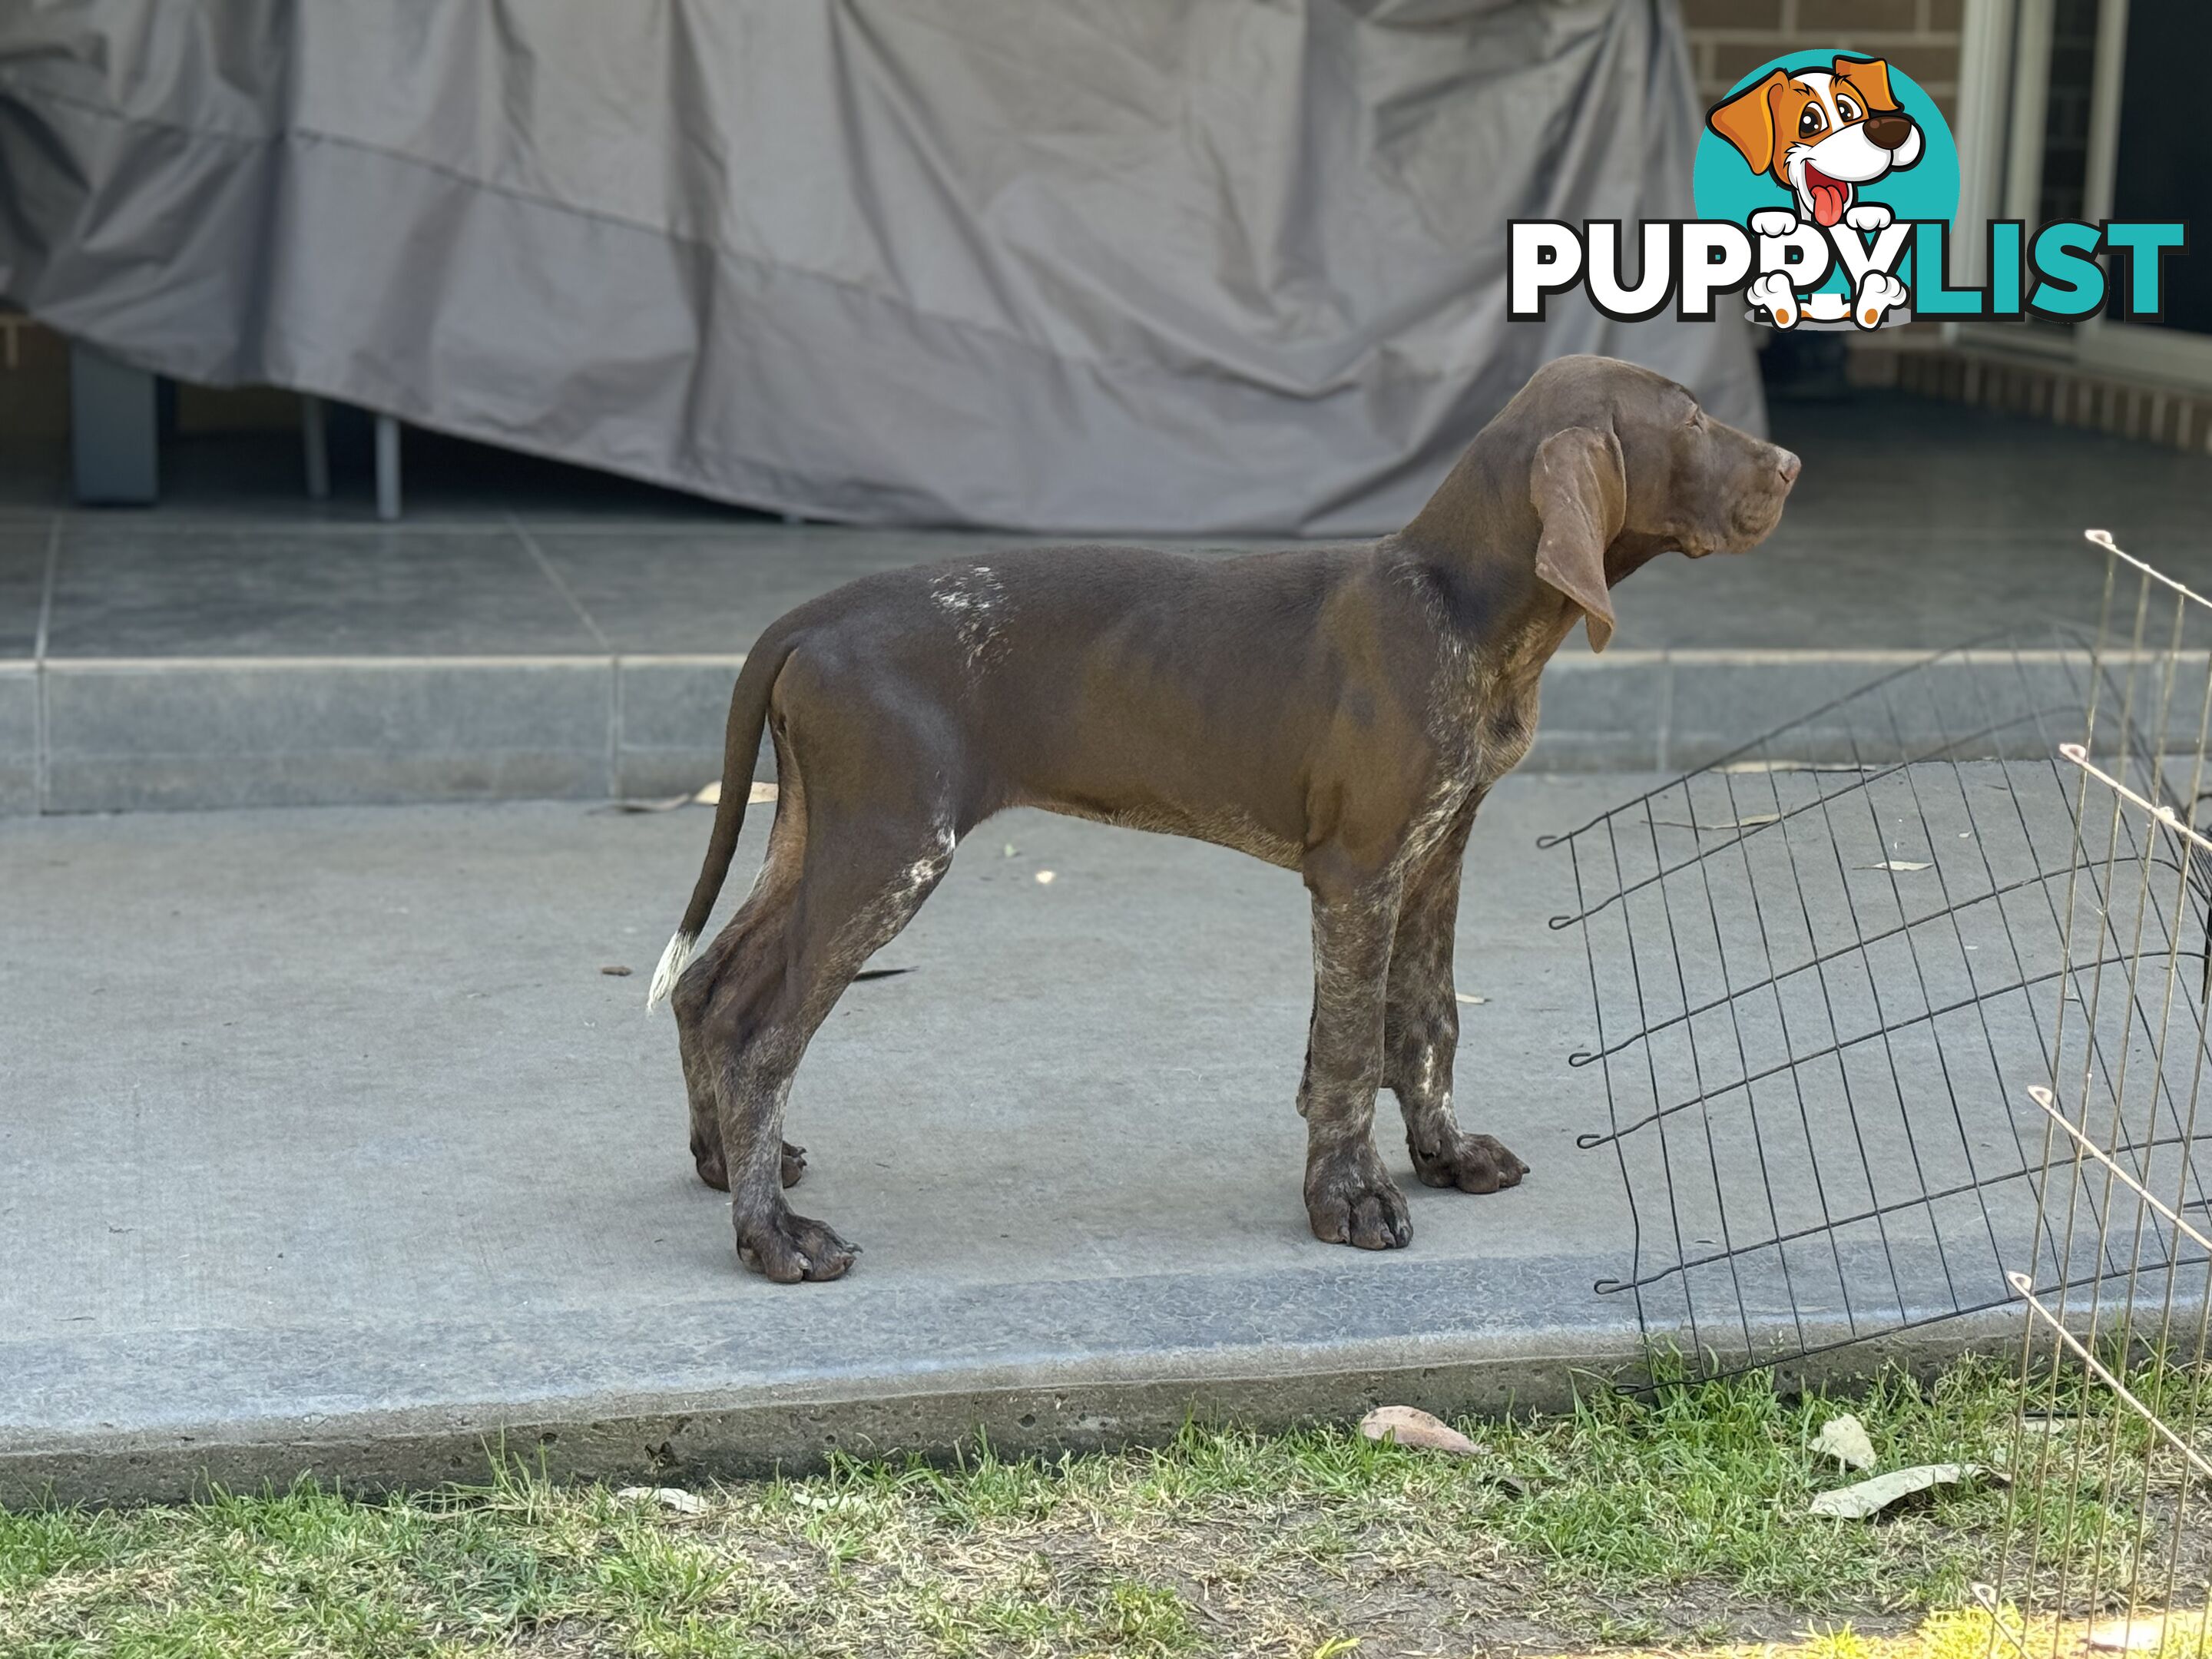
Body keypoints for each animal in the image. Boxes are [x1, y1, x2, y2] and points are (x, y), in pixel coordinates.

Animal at [645, 353, 1796, 1283]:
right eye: (1693, 420)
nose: (1788, 464)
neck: (1459, 601)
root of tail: (812, 617)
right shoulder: (1359, 873)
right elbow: (1349, 1052)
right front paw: (1351, 1199)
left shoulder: (1436, 855)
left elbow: (1427, 1024)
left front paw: (1444, 1154)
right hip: (892, 853)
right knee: (765, 1039)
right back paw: (772, 1236)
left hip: (824, 836)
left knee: (711, 992)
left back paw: (725, 1168)